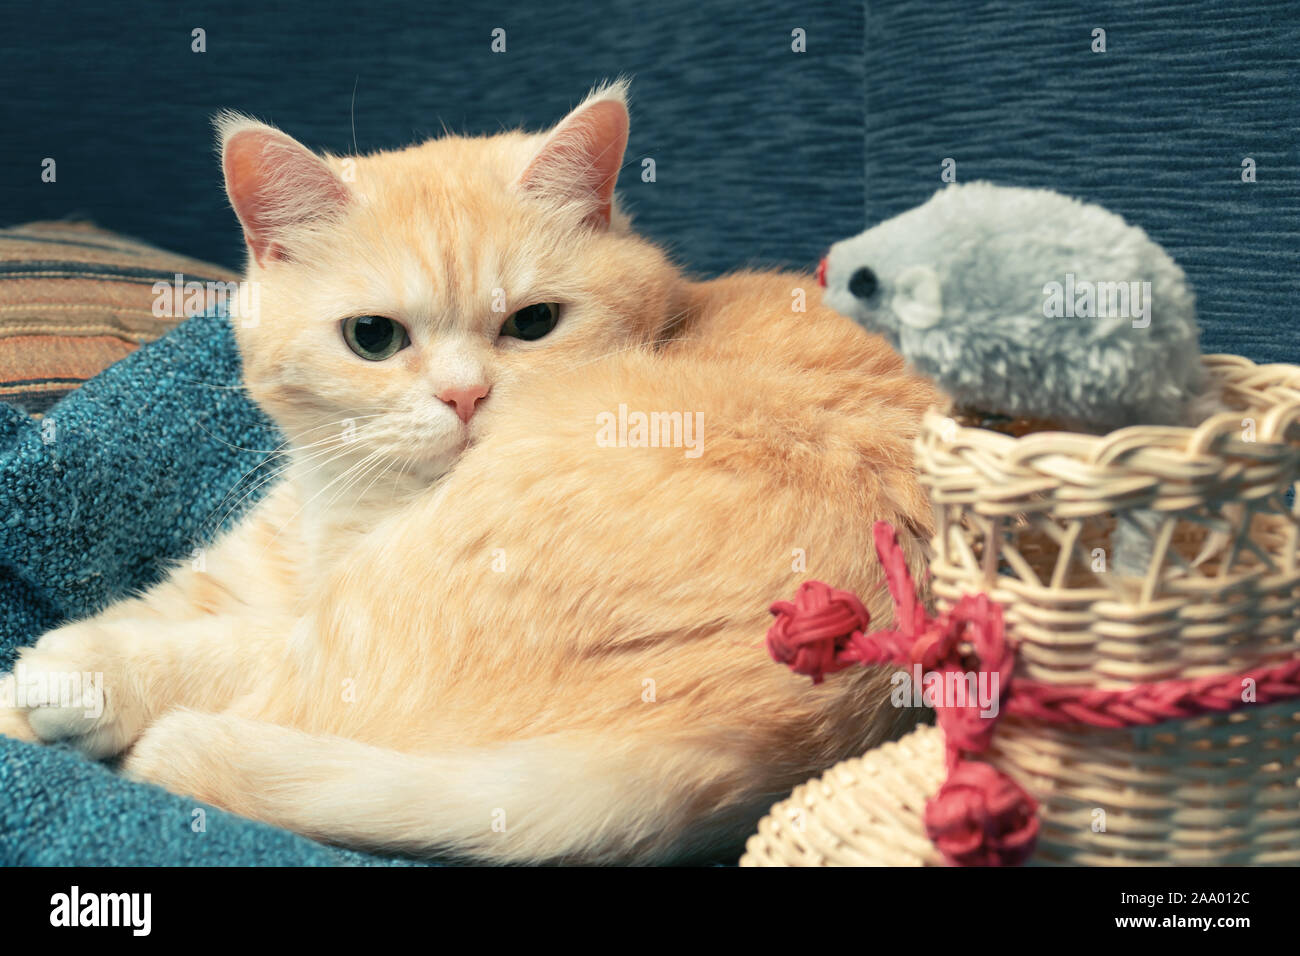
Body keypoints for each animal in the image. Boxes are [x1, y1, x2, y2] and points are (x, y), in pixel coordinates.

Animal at [0, 82, 941, 863]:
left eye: (532, 323)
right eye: (373, 337)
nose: (465, 396)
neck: (350, 503)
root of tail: (746, 745)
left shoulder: (297, 614)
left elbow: (201, 648)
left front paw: (65, 677)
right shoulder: (234, 575)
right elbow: (159, 611)